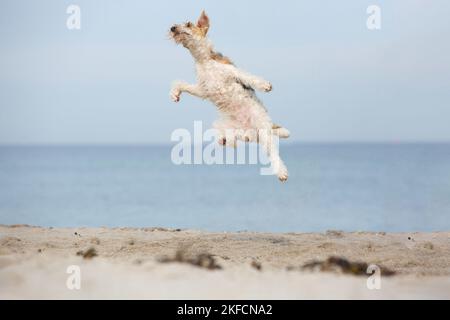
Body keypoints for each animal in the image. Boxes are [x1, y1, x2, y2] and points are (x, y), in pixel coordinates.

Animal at [169, 11, 288, 181]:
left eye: (188, 24)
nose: (172, 28)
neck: (204, 61)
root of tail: (252, 131)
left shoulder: (232, 73)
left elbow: (249, 77)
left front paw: (265, 85)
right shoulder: (203, 89)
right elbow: (181, 84)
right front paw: (175, 94)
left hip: (264, 129)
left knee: (273, 152)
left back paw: (282, 172)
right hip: (224, 126)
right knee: (234, 138)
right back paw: (224, 139)